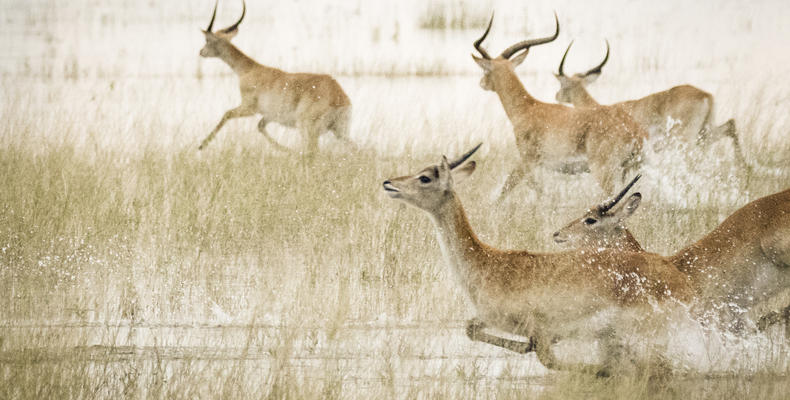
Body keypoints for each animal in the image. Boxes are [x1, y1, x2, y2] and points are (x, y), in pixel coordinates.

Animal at [198, 0, 356, 155]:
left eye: (207, 40)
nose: (201, 52)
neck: (249, 70)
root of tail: (339, 97)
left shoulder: (249, 107)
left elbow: (227, 114)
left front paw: (202, 145)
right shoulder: (269, 115)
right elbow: (260, 126)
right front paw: (287, 150)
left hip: (308, 128)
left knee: (312, 152)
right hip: (340, 131)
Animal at [384, 144, 692, 376]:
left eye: (425, 177)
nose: (389, 183)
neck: (486, 262)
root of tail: (678, 277)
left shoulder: (540, 328)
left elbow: (550, 359)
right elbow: (471, 328)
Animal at [470, 14, 648, 198]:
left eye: (485, 71)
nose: (482, 82)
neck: (528, 108)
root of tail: (635, 132)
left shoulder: (527, 160)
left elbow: (514, 188)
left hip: (603, 171)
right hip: (628, 170)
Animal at [552, 41, 744, 166]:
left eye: (562, 84)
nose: (556, 95)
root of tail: (705, 95)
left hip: (686, 140)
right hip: (704, 134)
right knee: (731, 125)